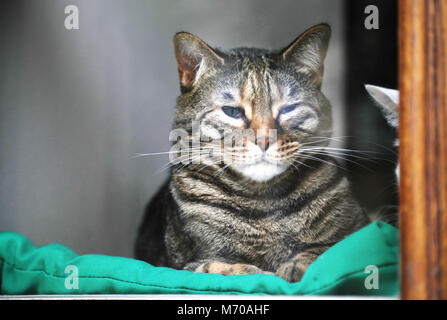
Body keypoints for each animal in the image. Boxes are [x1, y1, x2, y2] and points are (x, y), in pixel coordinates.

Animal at [135, 23, 370, 282]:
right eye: (232, 111)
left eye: (288, 109)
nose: (265, 140)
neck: (264, 207)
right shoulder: (177, 266)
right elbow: (221, 268)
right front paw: (257, 271)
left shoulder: (362, 227)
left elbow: (330, 249)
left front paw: (298, 265)